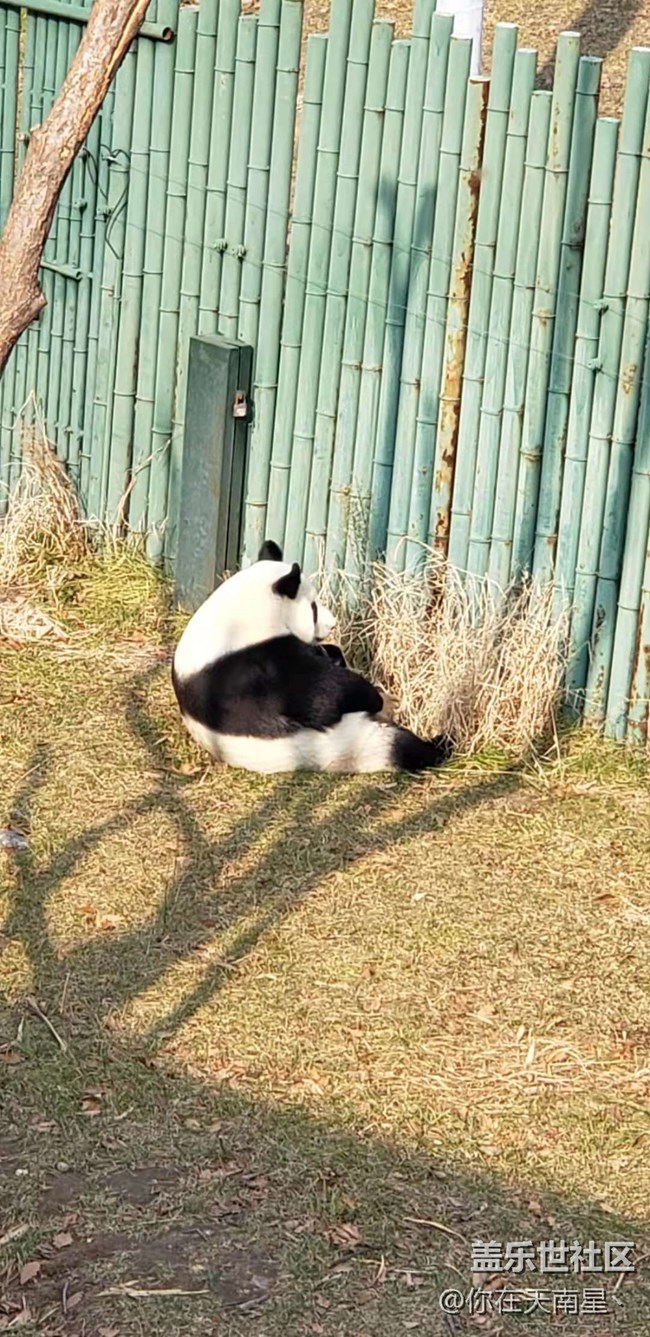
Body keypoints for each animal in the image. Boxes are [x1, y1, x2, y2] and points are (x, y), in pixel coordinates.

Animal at [169, 540, 454, 775]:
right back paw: (440, 744)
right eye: (314, 607)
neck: (240, 615)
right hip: (353, 743)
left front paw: (333, 655)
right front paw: (374, 696)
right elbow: (322, 697)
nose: (333, 623)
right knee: (399, 747)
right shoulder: (249, 670)